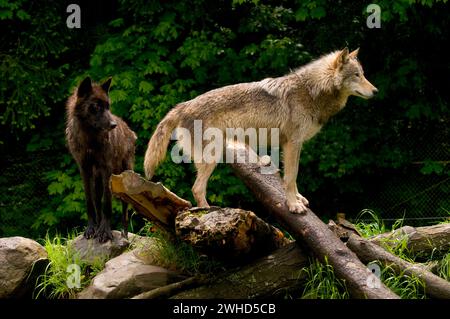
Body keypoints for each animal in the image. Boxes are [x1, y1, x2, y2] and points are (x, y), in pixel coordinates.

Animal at [65, 77, 135, 242]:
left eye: (108, 106)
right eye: (96, 106)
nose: (113, 125)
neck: (90, 140)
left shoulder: (106, 168)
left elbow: (107, 203)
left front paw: (105, 231)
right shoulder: (84, 168)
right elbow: (89, 202)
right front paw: (91, 229)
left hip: (123, 177)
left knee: (125, 210)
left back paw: (124, 235)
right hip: (97, 180)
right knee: (97, 201)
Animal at [143, 47, 376, 214]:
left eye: (363, 74)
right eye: (357, 75)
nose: (375, 91)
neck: (312, 91)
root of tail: (182, 105)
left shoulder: (294, 145)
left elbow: (293, 177)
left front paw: (298, 199)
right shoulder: (292, 144)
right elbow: (290, 177)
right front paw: (294, 206)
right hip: (212, 157)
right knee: (197, 188)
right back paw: (209, 213)